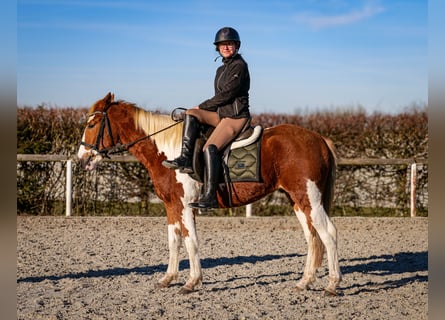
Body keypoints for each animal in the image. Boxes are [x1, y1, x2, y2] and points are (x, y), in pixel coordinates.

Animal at [77, 92, 340, 296]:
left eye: (92, 125)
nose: (82, 159)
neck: (169, 152)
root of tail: (319, 139)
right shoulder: (171, 206)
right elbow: (174, 241)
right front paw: (168, 279)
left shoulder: (185, 206)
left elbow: (190, 241)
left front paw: (192, 282)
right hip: (298, 200)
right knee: (312, 237)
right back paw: (305, 282)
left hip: (310, 199)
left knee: (328, 233)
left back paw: (332, 285)